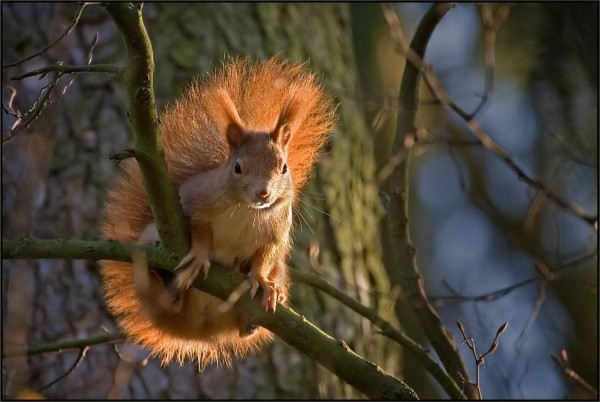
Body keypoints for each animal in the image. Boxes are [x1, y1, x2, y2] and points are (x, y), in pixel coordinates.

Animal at [96, 56, 336, 368]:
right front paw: (199, 257)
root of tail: (199, 330)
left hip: (277, 273)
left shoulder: (276, 233)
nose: (263, 193)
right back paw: (165, 277)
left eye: (284, 168)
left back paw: (258, 313)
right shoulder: (196, 204)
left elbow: (264, 256)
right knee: (166, 299)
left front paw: (261, 280)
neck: (248, 210)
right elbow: (199, 231)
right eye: (237, 167)